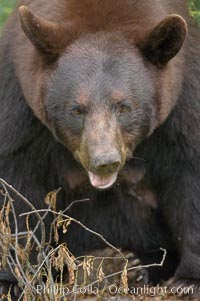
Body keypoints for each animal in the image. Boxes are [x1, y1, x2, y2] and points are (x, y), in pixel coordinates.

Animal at [0, 0, 199, 298]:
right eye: (76, 109)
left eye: (124, 106)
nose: (105, 161)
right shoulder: (18, 106)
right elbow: (17, 192)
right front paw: (12, 279)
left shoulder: (184, 100)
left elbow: (190, 178)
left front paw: (187, 281)